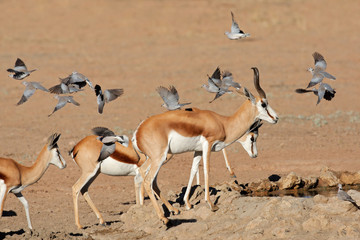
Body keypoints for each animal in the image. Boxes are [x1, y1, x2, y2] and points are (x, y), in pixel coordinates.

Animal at [132, 66, 278, 224]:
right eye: (263, 104)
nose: (276, 118)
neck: (223, 123)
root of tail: (138, 131)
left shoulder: (198, 151)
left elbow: (193, 170)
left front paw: (188, 203)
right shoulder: (208, 145)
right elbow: (207, 170)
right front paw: (211, 204)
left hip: (154, 159)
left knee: (144, 174)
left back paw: (172, 210)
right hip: (159, 158)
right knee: (148, 180)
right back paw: (163, 217)